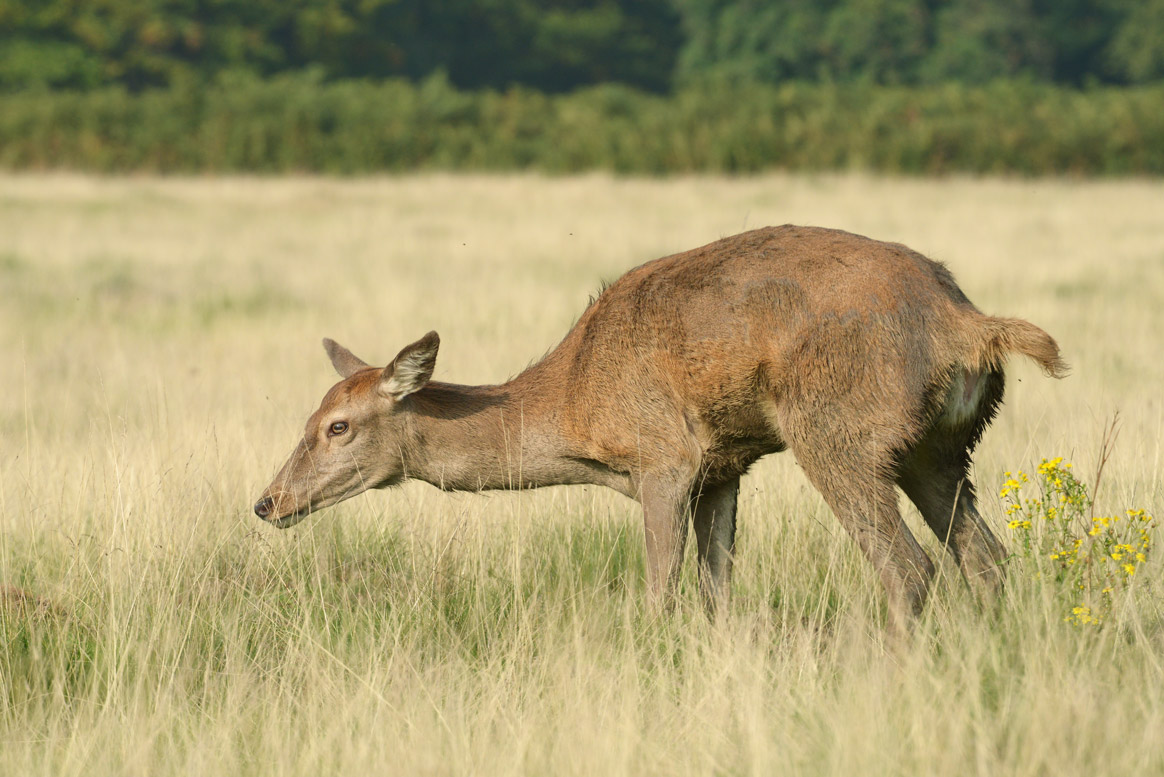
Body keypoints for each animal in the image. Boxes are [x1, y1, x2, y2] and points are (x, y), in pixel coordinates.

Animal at [254, 223, 1066, 632]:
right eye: (309, 417)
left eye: (338, 426)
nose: (267, 501)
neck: (575, 411)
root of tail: (967, 323)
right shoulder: (724, 467)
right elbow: (718, 595)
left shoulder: (664, 457)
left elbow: (659, 593)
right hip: (938, 449)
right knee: (987, 559)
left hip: (837, 430)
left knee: (908, 568)